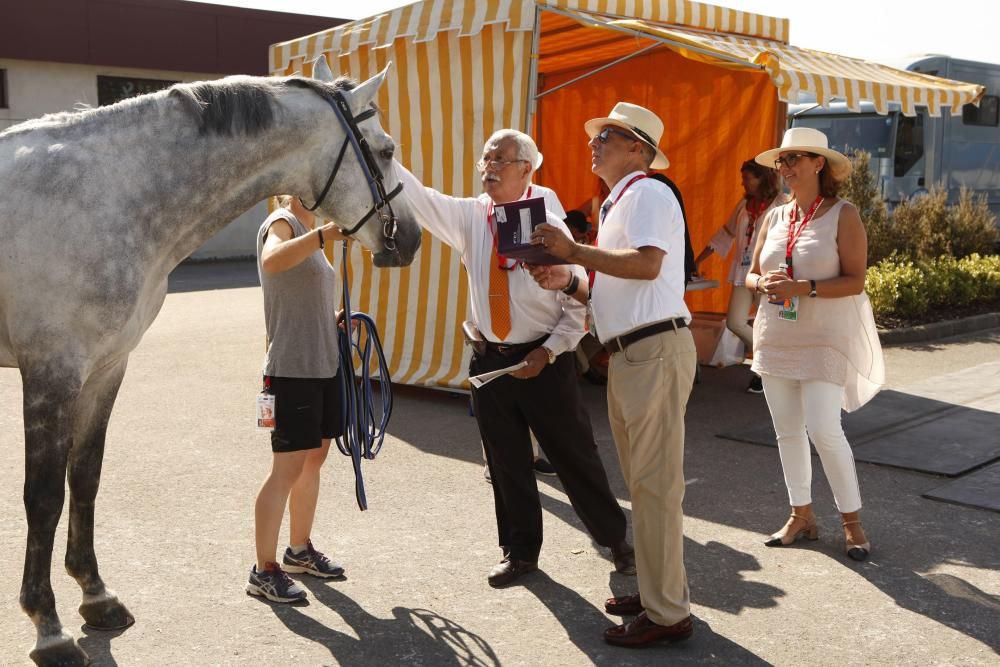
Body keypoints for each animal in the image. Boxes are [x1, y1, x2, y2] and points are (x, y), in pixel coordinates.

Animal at [0, 58, 420, 667]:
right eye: (385, 150)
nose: (409, 238)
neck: (104, 193)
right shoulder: (51, 371)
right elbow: (44, 497)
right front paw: (48, 627)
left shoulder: (106, 367)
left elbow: (86, 477)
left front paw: (96, 597)